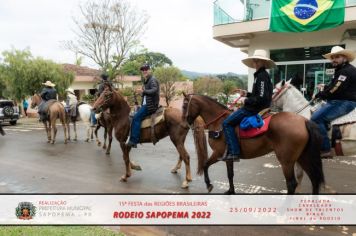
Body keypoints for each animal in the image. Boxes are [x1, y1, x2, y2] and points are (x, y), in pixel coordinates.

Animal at [184, 93, 326, 195]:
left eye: (185, 105)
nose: (185, 122)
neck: (219, 122)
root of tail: (303, 121)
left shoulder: (218, 153)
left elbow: (205, 165)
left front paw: (209, 185)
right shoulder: (228, 157)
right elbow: (230, 174)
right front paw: (231, 190)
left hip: (287, 161)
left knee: (292, 184)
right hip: (303, 157)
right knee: (314, 179)